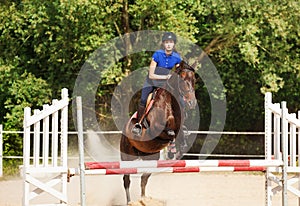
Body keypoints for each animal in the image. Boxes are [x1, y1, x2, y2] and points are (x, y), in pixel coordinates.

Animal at [119, 60, 197, 204]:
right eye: (182, 79)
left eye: (194, 80)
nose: (192, 103)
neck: (169, 103)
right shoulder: (155, 128)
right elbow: (170, 133)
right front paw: (172, 151)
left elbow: (180, 134)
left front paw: (178, 149)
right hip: (127, 156)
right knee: (126, 179)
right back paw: (129, 201)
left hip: (151, 157)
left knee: (143, 178)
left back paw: (144, 199)